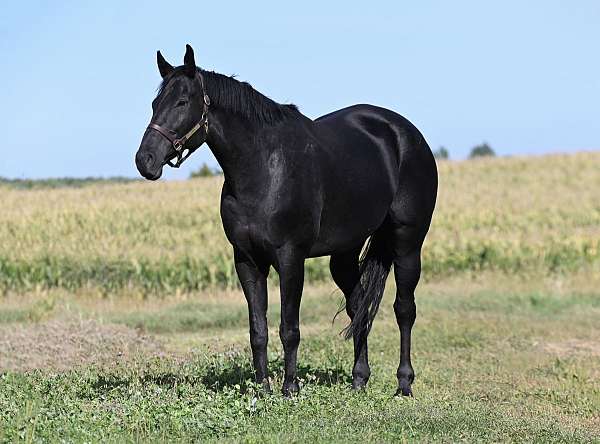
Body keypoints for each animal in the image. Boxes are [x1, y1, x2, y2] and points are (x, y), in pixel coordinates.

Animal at [135, 46, 436, 398]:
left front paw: (290, 387)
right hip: (345, 253)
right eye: (155, 104)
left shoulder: (291, 258)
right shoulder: (247, 260)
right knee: (359, 305)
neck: (264, 168)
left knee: (404, 309)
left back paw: (404, 383)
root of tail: (405, 133)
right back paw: (359, 379)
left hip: (407, 243)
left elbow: (289, 327)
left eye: (182, 102)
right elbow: (258, 330)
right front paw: (262, 388)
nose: (145, 161)